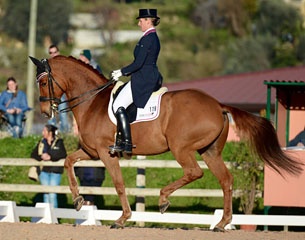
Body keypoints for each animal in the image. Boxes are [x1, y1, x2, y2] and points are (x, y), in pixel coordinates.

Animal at [29, 55, 300, 231]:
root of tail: (217, 105)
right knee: (225, 180)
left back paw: (163, 199)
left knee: (194, 172)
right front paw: (77, 201)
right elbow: (68, 162)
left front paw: (122, 219)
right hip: (210, 151)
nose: (44, 111)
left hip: (182, 148)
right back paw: (222, 223)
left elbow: (118, 184)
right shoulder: (90, 151)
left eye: (42, 82)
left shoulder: (107, 154)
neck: (92, 101)